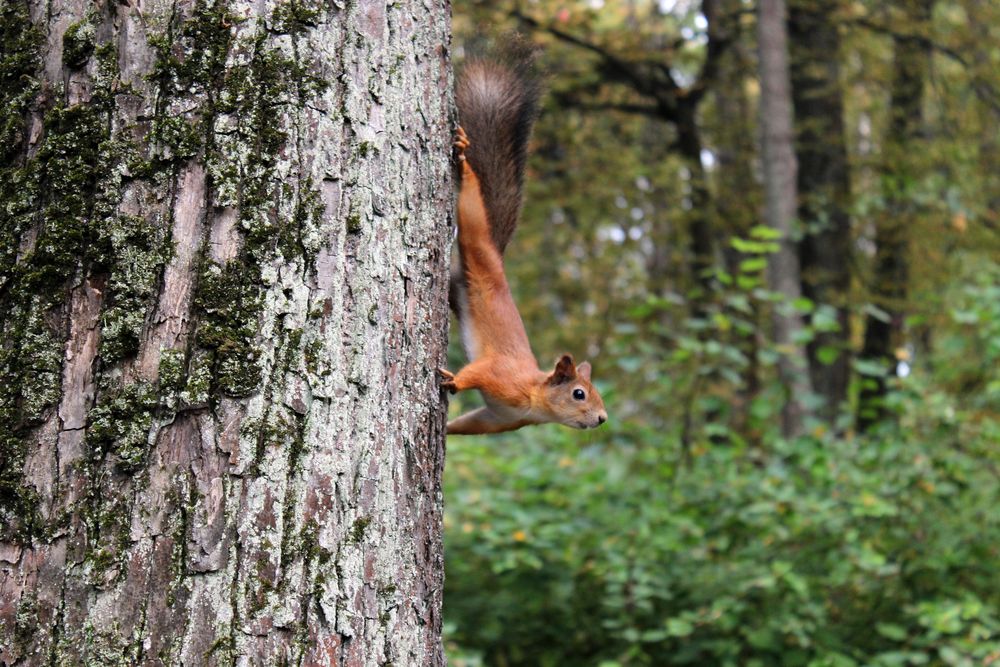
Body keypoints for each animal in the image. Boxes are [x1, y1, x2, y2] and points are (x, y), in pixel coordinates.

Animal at [440, 44, 608, 436]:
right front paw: (454, 381)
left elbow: (471, 424)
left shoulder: (499, 419)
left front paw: (447, 431)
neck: (534, 396)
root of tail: (498, 259)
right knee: (473, 216)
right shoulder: (500, 375)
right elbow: (477, 372)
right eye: (579, 393)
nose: (602, 418)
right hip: (478, 244)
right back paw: (463, 162)